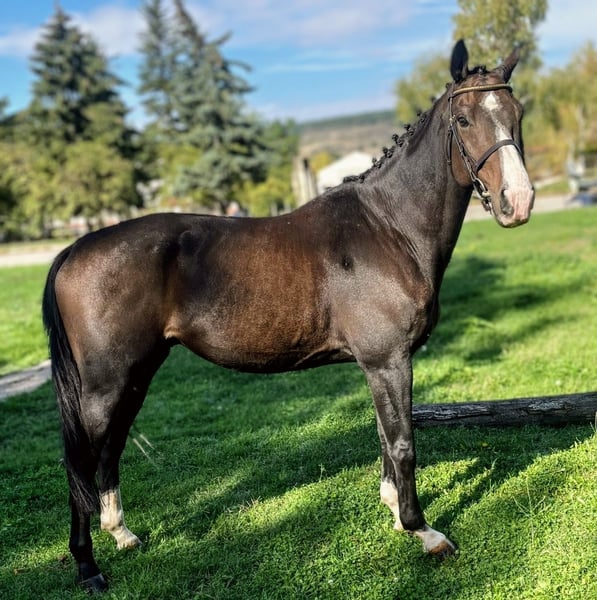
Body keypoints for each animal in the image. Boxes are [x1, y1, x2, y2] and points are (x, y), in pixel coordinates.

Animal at [42, 40, 534, 592]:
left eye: (517, 113)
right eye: (465, 120)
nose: (519, 201)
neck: (388, 227)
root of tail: (75, 249)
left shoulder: (379, 364)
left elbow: (386, 437)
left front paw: (392, 512)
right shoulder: (388, 360)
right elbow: (403, 442)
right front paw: (422, 531)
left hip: (134, 375)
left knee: (109, 450)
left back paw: (122, 535)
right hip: (105, 384)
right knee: (82, 461)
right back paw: (87, 566)